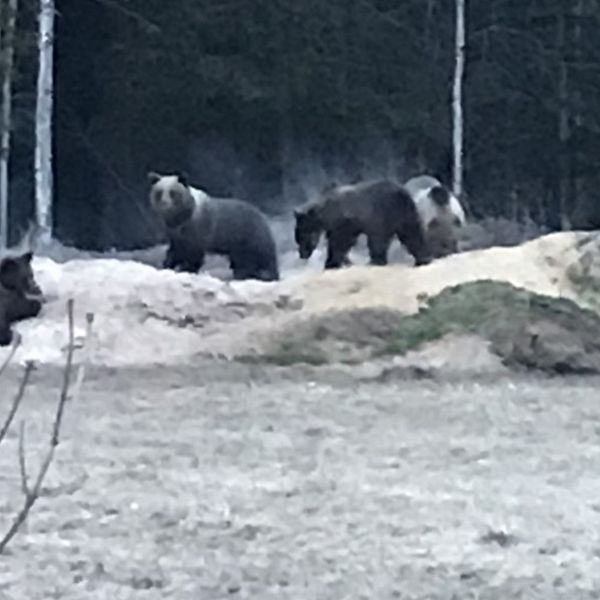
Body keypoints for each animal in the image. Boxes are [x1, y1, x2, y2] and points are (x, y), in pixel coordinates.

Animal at [150, 169, 282, 282]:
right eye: (159, 192)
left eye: (173, 193)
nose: (165, 203)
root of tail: (263, 217)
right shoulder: (175, 233)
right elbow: (175, 250)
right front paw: (168, 265)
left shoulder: (197, 228)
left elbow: (194, 252)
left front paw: (187, 268)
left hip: (247, 236)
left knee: (256, 257)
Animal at [294, 178, 432, 270]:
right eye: (298, 238)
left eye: (301, 237)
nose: (302, 254)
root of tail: (403, 192)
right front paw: (343, 261)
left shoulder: (346, 220)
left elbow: (340, 240)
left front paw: (331, 263)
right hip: (405, 214)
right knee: (412, 233)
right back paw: (423, 258)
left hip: (383, 213)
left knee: (379, 239)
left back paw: (376, 261)